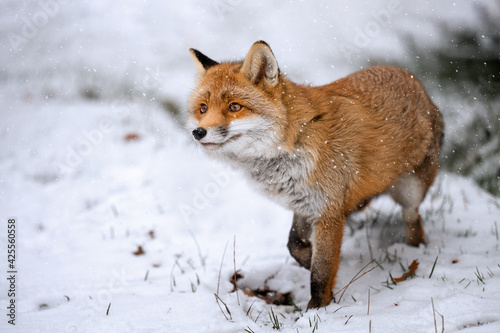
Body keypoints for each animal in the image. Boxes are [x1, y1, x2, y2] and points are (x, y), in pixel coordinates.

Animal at [187, 41, 442, 308]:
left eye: (234, 107)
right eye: (203, 108)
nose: (198, 132)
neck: (297, 139)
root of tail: (415, 81)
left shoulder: (329, 210)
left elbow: (321, 272)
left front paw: (318, 309)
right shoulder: (305, 204)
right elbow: (294, 244)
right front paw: (316, 264)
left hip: (411, 191)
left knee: (413, 220)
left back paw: (415, 255)